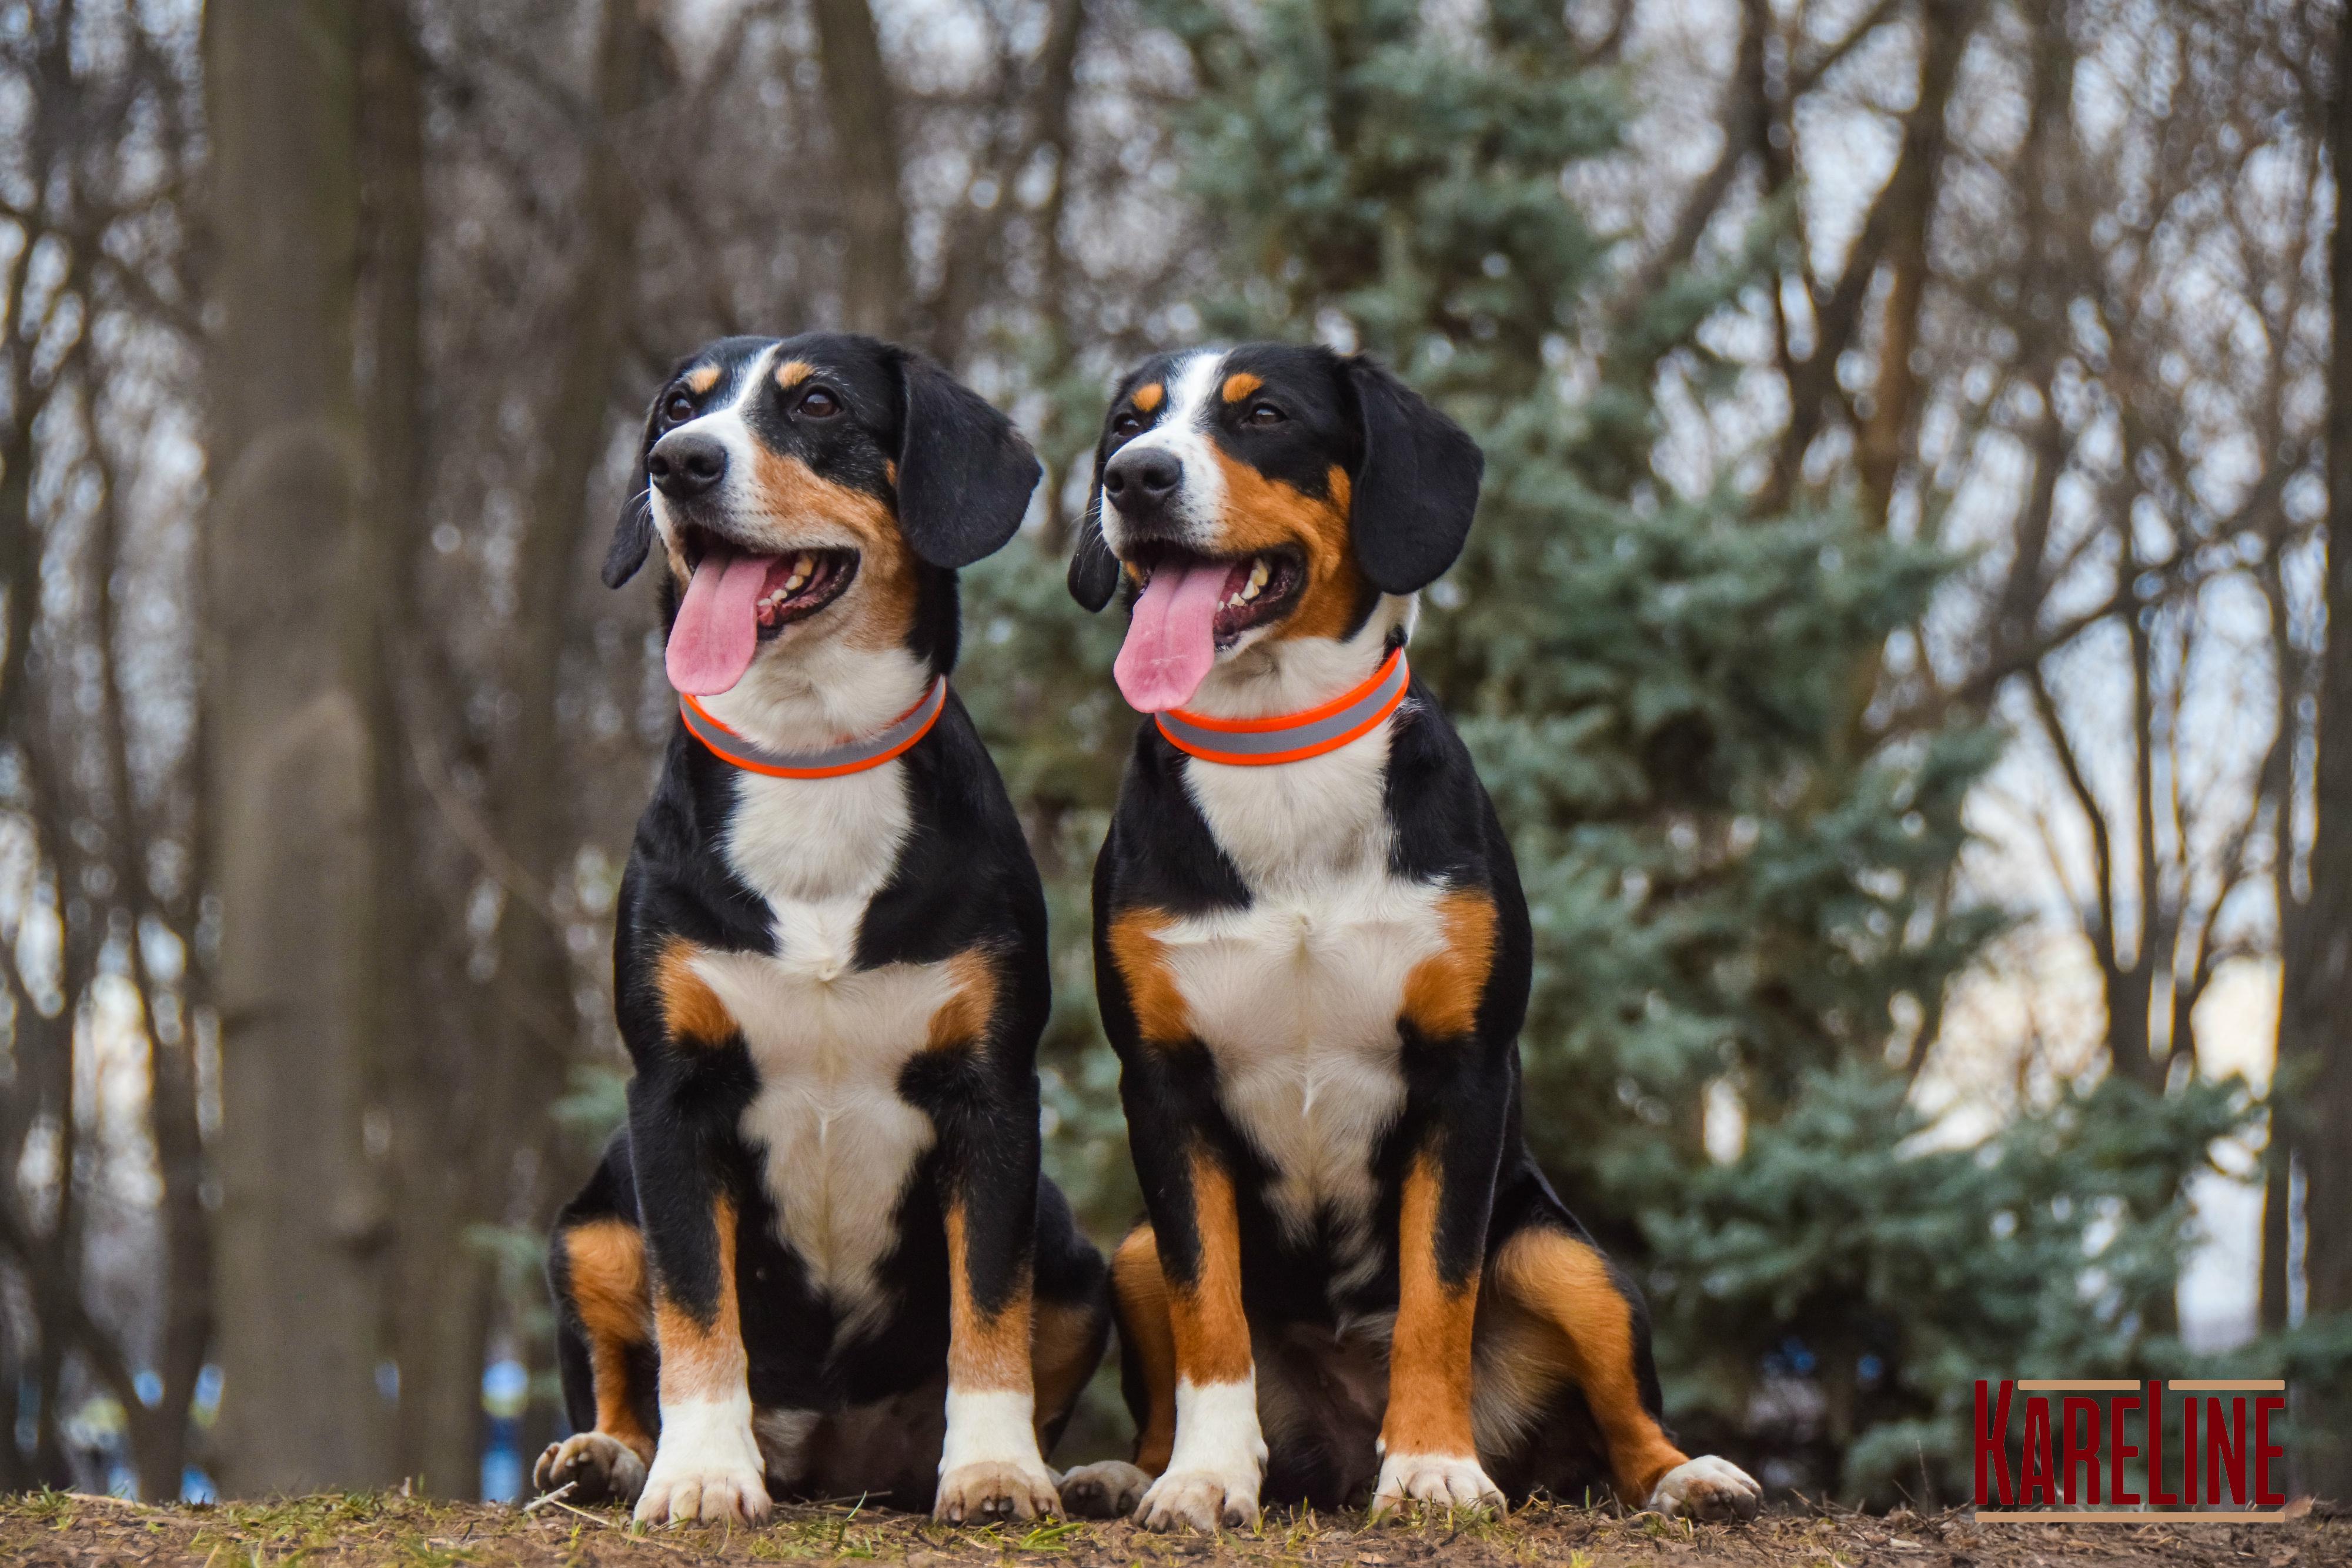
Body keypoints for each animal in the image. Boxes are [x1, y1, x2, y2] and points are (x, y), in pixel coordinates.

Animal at [541, 338, 1110, 1523]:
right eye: (678, 406)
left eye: (817, 403)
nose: (680, 462)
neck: (810, 755)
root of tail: (832, 1459)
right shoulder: (672, 1095)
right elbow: (694, 1308)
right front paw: (702, 1473)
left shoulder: (993, 1093)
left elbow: (991, 1306)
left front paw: (994, 1469)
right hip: (592, 1225)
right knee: (619, 1366)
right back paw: (607, 1456)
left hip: (1076, 1248)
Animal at [1058, 345, 1759, 1533]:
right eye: (1126, 424)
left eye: (1263, 414)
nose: (1136, 478)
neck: (1278, 755)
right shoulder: (1163, 1084)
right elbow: (1210, 1315)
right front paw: (1203, 1477)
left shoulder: (1462, 1072)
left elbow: (1439, 1293)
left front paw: (1433, 1465)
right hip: (1134, 1251)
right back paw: (1128, 1470)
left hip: (1566, 1257)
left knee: (1628, 1422)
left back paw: (1688, 1475)